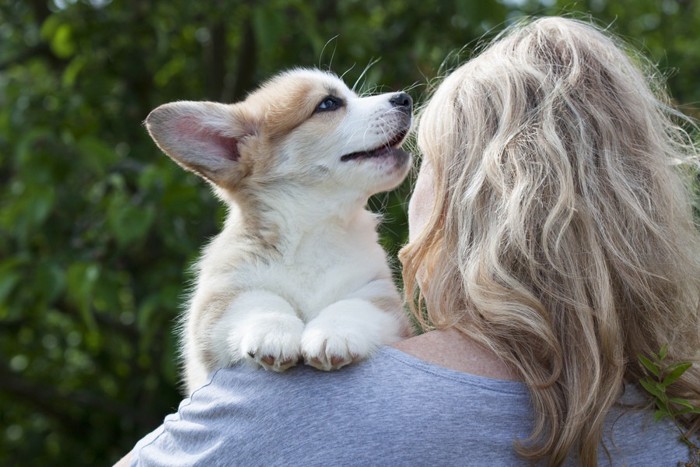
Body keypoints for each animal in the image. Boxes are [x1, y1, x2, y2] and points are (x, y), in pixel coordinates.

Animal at [145, 67, 412, 394]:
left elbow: (354, 305)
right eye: (328, 104)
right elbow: (258, 301)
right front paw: (274, 332)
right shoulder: (217, 308)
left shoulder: (382, 299)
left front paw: (333, 333)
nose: (405, 99)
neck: (313, 231)